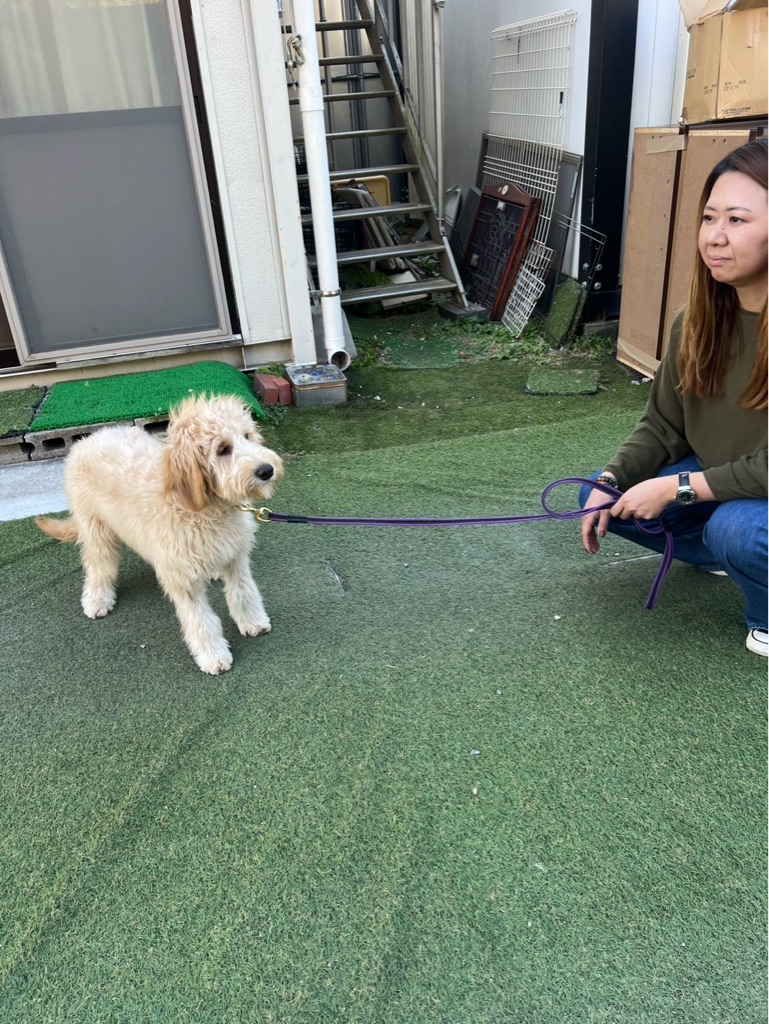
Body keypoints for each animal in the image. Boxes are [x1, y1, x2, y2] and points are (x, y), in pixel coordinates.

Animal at [36, 394, 283, 675]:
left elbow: (243, 592)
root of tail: (88, 439)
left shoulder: (235, 555)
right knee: (98, 565)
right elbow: (200, 620)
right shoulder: (180, 577)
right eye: (222, 449)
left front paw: (252, 622)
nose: (267, 470)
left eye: (247, 436)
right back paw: (97, 599)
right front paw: (213, 656)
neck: (202, 509)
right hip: (96, 527)